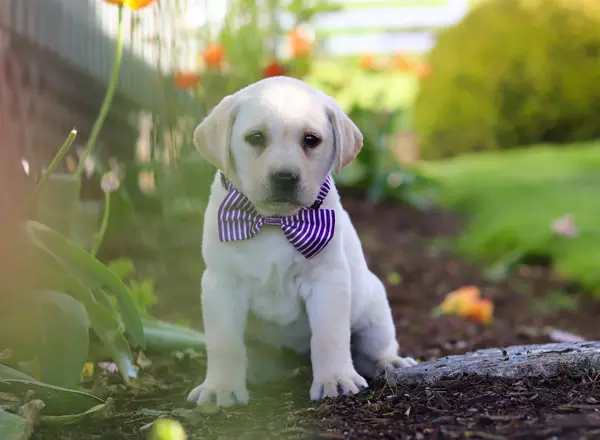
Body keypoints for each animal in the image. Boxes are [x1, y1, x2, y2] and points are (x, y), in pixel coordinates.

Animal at [185, 76, 414, 410]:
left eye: (311, 140)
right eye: (256, 138)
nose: (284, 177)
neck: (274, 221)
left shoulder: (327, 281)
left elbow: (329, 336)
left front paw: (335, 379)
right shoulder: (222, 284)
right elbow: (224, 343)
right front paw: (220, 388)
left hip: (374, 311)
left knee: (375, 348)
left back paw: (391, 362)